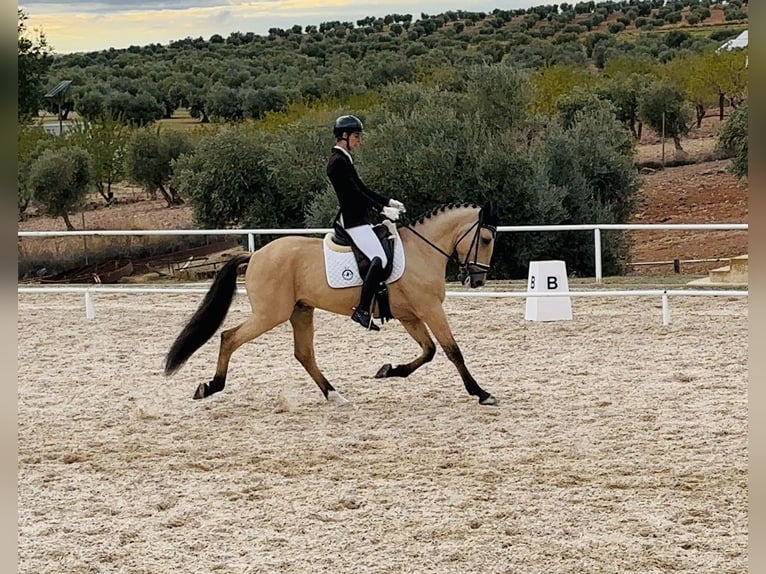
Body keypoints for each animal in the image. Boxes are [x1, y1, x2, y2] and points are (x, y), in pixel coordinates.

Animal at [164, 200, 504, 408]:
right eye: (487, 240)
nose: (477, 281)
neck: (423, 250)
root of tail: (256, 254)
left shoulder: (411, 315)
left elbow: (429, 351)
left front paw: (388, 370)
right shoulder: (430, 309)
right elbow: (452, 351)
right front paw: (482, 393)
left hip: (300, 311)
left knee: (304, 354)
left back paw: (334, 395)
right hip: (270, 314)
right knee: (229, 337)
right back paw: (210, 386)